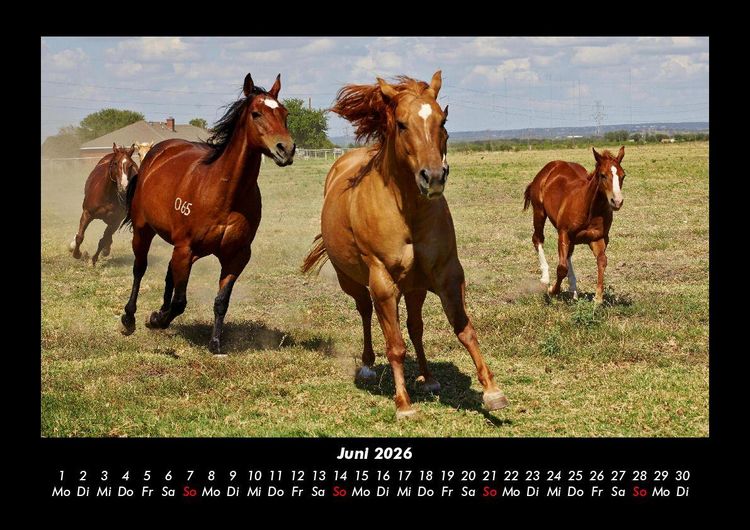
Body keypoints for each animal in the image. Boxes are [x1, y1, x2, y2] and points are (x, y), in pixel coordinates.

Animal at [119, 73, 296, 354]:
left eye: (284, 113)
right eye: (256, 113)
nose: (286, 149)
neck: (225, 194)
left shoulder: (236, 256)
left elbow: (221, 300)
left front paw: (215, 343)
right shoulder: (185, 248)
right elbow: (180, 301)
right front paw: (156, 320)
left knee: (169, 273)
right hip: (144, 231)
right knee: (140, 268)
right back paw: (130, 318)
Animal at [302, 71, 508, 419]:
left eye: (442, 120)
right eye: (400, 124)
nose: (434, 177)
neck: (407, 212)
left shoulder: (447, 274)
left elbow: (464, 329)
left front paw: (492, 391)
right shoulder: (384, 282)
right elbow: (395, 345)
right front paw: (404, 404)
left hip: (415, 287)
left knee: (415, 326)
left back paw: (428, 377)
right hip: (354, 282)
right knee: (366, 312)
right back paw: (368, 366)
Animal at [523, 146, 626, 303]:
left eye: (623, 176)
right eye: (602, 175)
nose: (617, 201)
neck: (589, 208)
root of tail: (551, 166)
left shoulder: (598, 238)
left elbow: (602, 261)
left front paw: (598, 298)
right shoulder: (563, 233)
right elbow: (561, 268)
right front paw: (552, 290)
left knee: (568, 254)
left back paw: (574, 290)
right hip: (539, 212)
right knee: (538, 239)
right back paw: (545, 278)